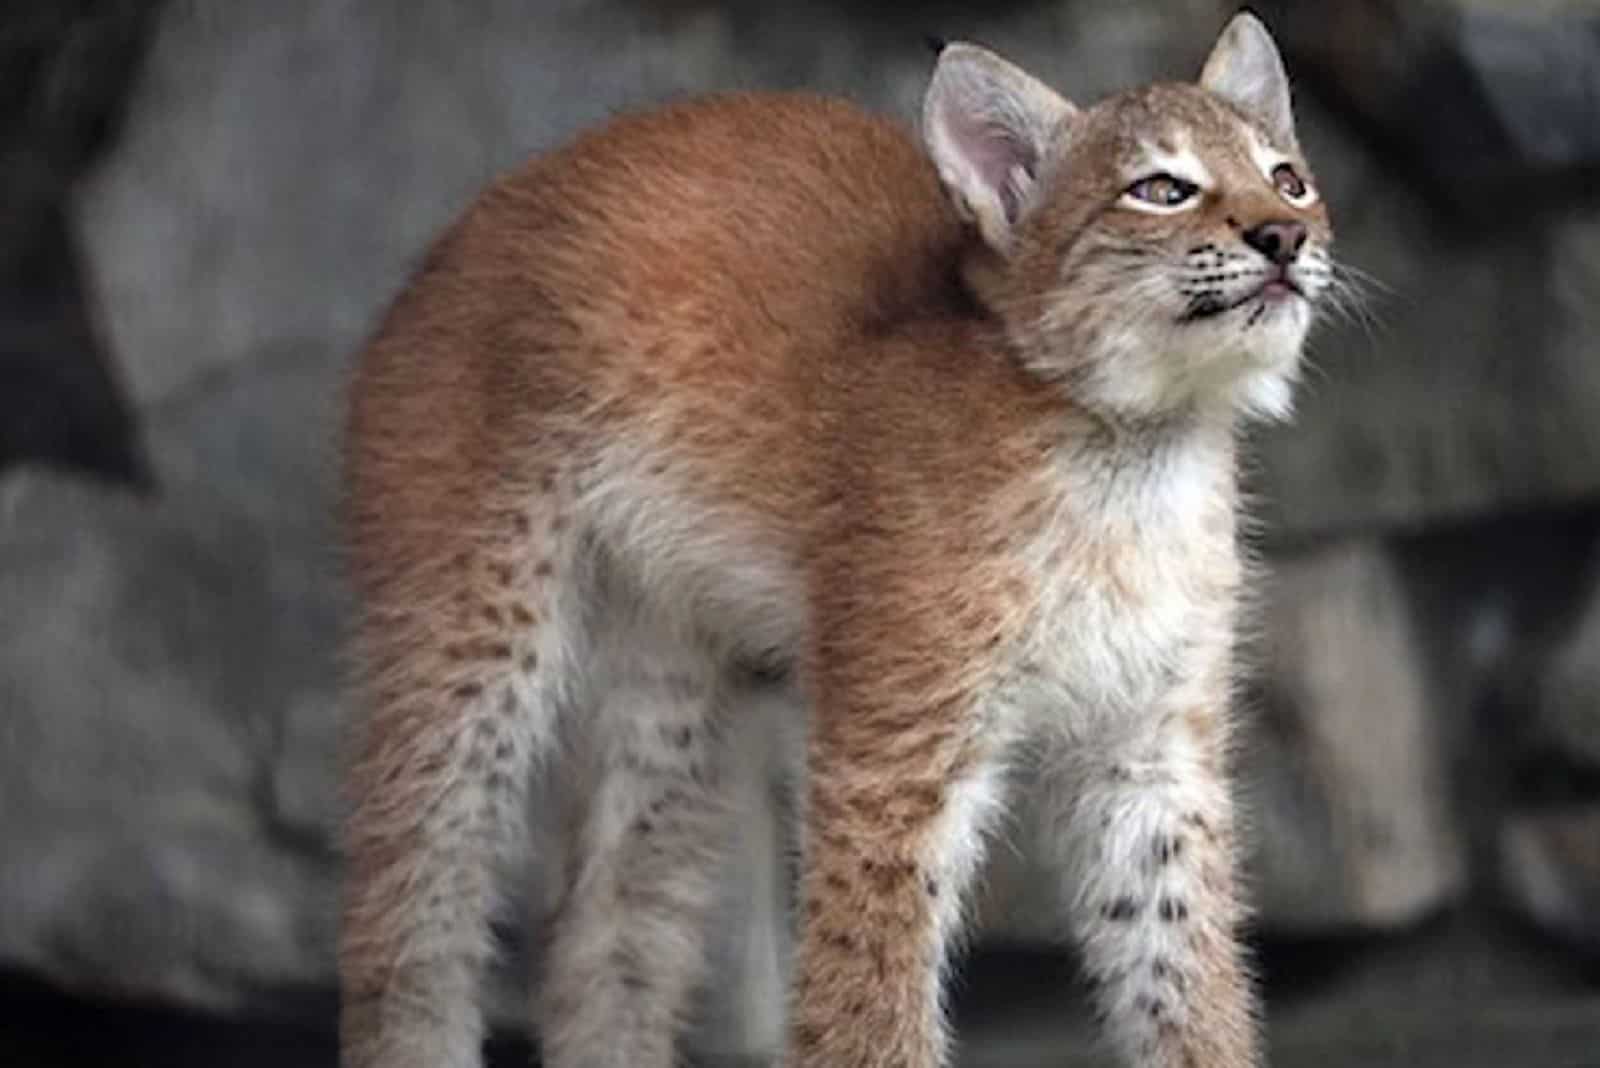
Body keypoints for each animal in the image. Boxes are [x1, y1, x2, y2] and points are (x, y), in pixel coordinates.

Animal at [344, 10, 1331, 1068]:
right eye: (1161, 190)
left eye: (1287, 177)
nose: (1286, 236)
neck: (1139, 447)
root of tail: (476, 217)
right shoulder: (893, 756)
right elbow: (869, 1001)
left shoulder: (1151, 752)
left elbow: (1187, 981)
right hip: (474, 629)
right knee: (406, 901)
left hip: (673, 677)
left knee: (611, 919)